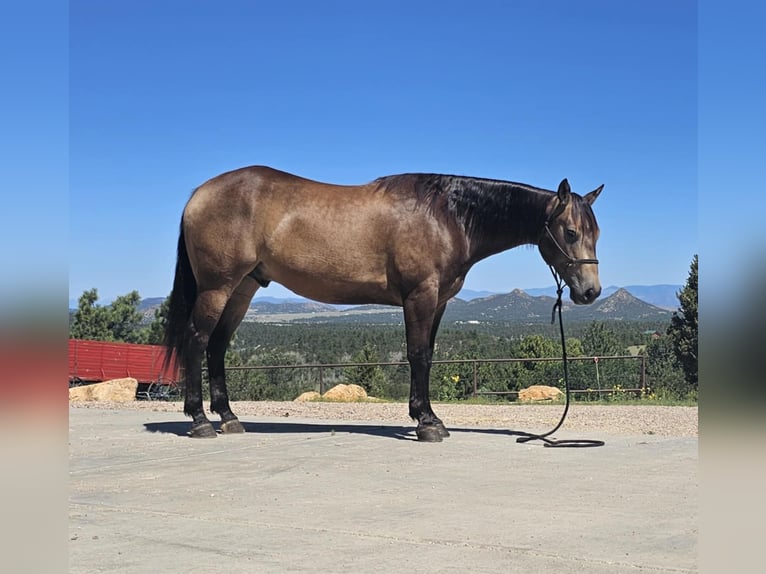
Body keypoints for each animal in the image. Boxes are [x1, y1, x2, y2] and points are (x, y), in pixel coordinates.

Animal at [164, 164, 608, 444]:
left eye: (595, 233)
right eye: (570, 232)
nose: (590, 292)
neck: (446, 216)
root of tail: (199, 195)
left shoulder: (439, 302)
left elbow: (427, 354)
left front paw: (425, 416)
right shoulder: (420, 297)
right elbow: (418, 355)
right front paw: (427, 423)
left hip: (242, 289)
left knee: (218, 346)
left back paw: (229, 418)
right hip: (217, 287)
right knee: (197, 340)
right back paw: (200, 421)